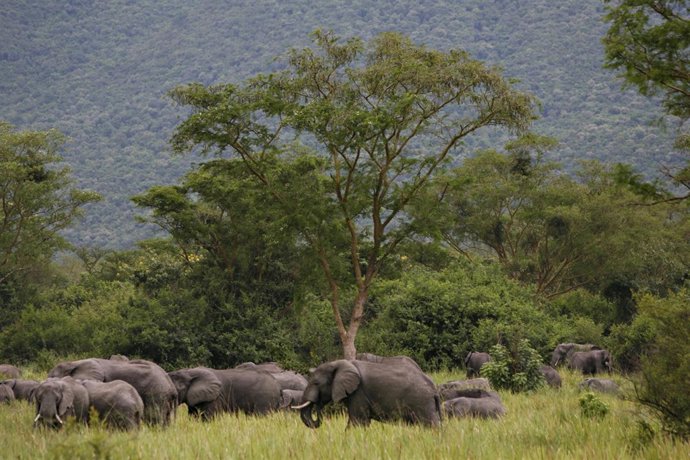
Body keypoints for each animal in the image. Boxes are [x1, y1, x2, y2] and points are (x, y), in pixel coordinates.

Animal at [295, 359, 441, 429]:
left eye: (316, 383)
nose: (318, 408)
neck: (338, 363)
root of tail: (434, 389)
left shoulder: (359, 392)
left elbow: (358, 422)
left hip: (421, 402)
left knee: (429, 424)